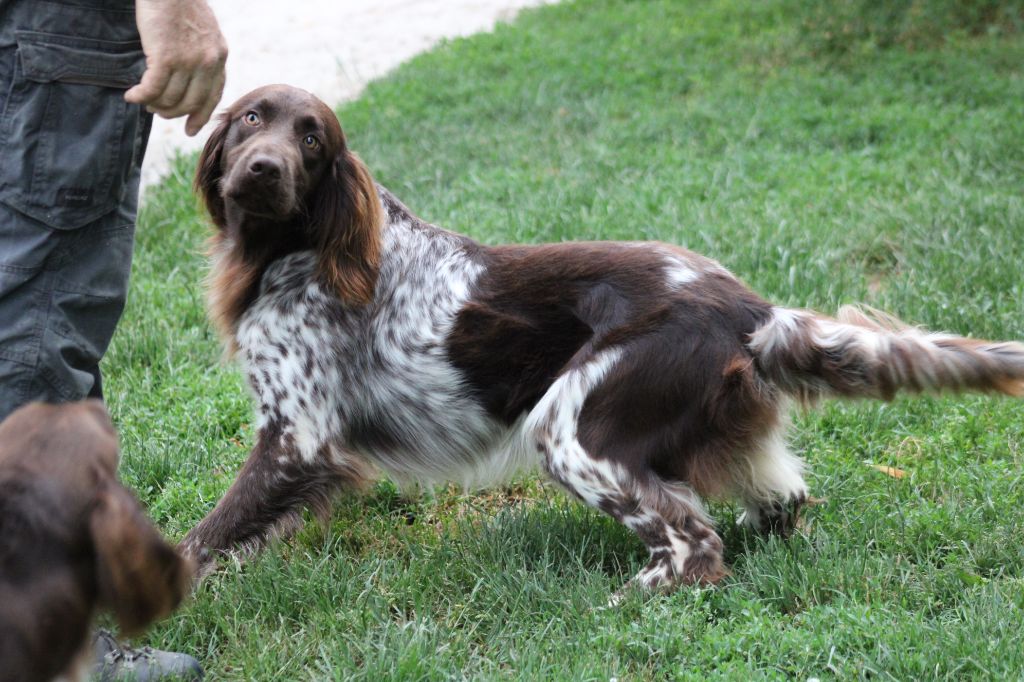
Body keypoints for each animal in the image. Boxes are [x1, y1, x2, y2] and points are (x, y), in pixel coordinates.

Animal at [182, 83, 1024, 593]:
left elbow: (199, 540)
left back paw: (627, 599)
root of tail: (748, 307)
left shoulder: (298, 439)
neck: (298, 252)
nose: (263, 169)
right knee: (778, 501)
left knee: (694, 543)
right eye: (253, 118)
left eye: (313, 141)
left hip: (570, 429)